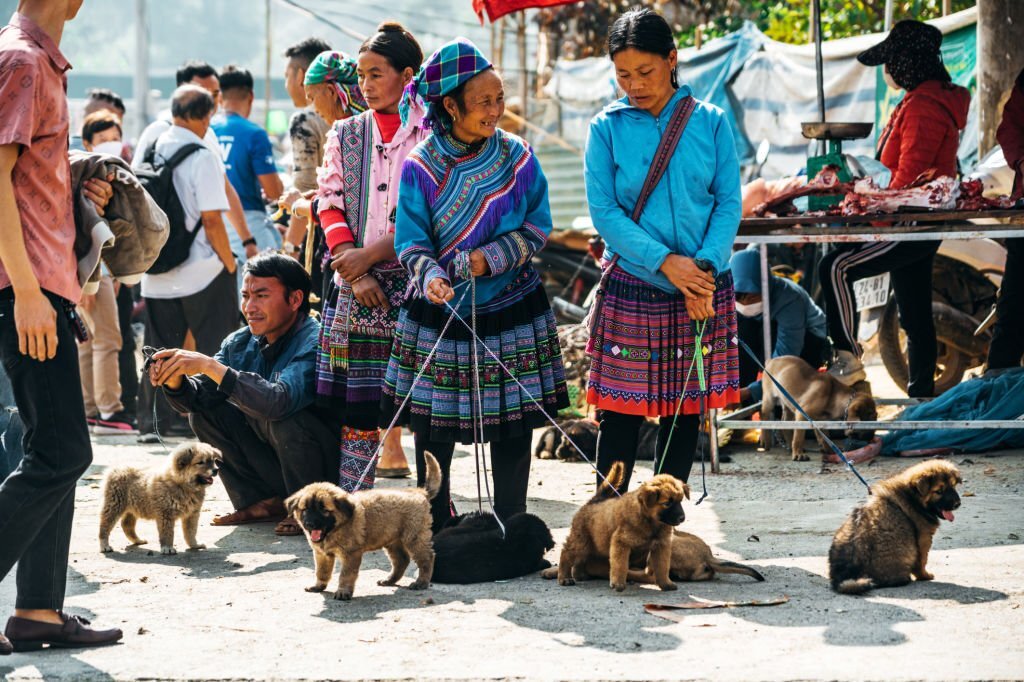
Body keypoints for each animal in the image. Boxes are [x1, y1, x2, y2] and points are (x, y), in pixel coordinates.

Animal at [284, 450, 440, 602]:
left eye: (324, 510)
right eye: (305, 510)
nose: (309, 524)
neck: (336, 529)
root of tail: (420, 492)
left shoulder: (351, 554)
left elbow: (345, 575)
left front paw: (343, 591)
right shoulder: (322, 554)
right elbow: (321, 571)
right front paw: (318, 586)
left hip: (414, 537)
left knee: (427, 557)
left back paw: (421, 582)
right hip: (392, 539)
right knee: (401, 560)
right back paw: (389, 580)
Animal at [552, 462, 688, 589]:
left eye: (680, 501)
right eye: (667, 503)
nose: (682, 518)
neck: (651, 521)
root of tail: (593, 501)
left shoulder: (661, 546)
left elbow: (663, 566)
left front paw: (666, 584)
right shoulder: (621, 543)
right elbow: (620, 565)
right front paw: (618, 584)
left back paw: (580, 575)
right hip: (581, 541)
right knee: (566, 553)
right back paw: (564, 578)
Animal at [827, 456, 962, 593]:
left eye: (953, 486)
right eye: (939, 491)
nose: (958, 504)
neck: (912, 497)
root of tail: (846, 576)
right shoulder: (923, 539)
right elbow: (922, 561)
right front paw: (925, 576)